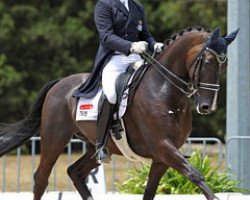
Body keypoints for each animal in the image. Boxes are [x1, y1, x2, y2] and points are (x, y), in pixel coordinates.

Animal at [0, 27, 238, 200]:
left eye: (224, 65)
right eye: (207, 62)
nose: (207, 107)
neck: (164, 91)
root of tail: (59, 83)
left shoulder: (162, 157)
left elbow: (150, 192)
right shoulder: (163, 147)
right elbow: (195, 174)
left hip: (99, 146)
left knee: (75, 172)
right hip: (54, 139)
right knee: (41, 177)